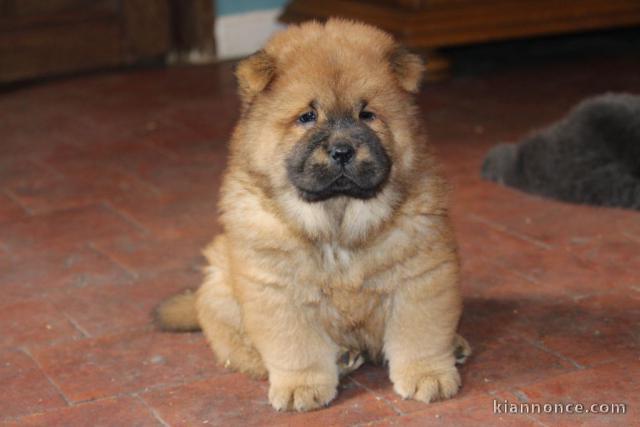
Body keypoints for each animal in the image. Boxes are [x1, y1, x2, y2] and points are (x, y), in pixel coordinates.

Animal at [158, 18, 470, 412]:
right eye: (307, 117)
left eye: (367, 115)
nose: (342, 150)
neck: (337, 221)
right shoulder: (277, 289)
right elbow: (295, 347)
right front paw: (300, 388)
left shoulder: (421, 274)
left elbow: (420, 334)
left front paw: (428, 375)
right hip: (221, 283)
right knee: (238, 346)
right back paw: (341, 358)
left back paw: (453, 345)